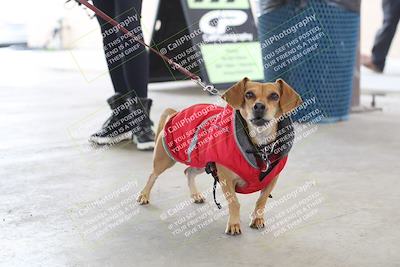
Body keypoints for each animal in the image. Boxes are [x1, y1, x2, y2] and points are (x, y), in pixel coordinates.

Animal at [136, 78, 302, 237]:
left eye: (274, 96)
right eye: (248, 94)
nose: (259, 106)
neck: (261, 147)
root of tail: (175, 113)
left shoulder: (271, 180)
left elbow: (261, 200)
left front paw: (257, 219)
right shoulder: (225, 179)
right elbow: (234, 203)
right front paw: (234, 224)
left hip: (203, 163)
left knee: (188, 171)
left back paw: (195, 194)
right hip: (166, 160)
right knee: (153, 176)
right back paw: (144, 195)